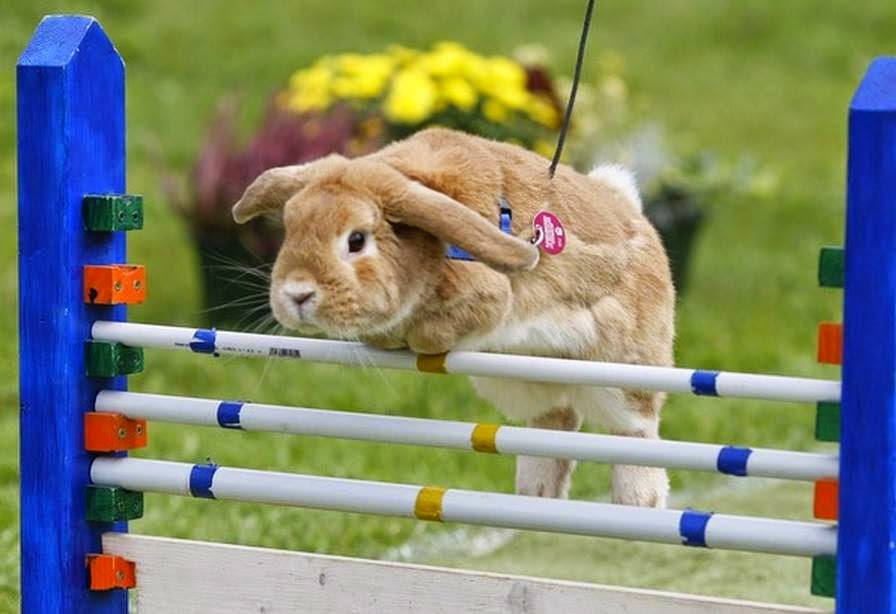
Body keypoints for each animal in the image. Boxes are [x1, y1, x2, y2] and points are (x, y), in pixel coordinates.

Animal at [232, 127, 675, 508]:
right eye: (290, 228)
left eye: (356, 240)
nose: (296, 293)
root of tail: (632, 212)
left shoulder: (488, 300)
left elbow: (433, 333)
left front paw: (412, 339)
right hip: (524, 381)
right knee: (555, 421)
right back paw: (535, 493)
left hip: (619, 374)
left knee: (634, 430)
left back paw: (639, 501)